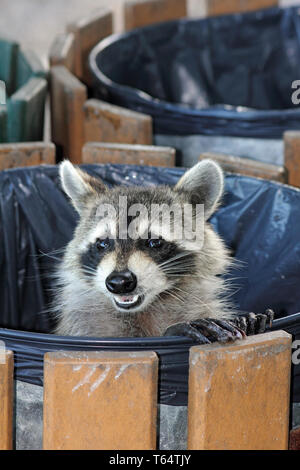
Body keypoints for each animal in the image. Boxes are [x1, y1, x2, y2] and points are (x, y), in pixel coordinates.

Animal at [52, 160, 272, 340]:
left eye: (154, 242)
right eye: (103, 243)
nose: (119, 282)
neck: (146, 307)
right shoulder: (85, 325)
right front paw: (173, 331)